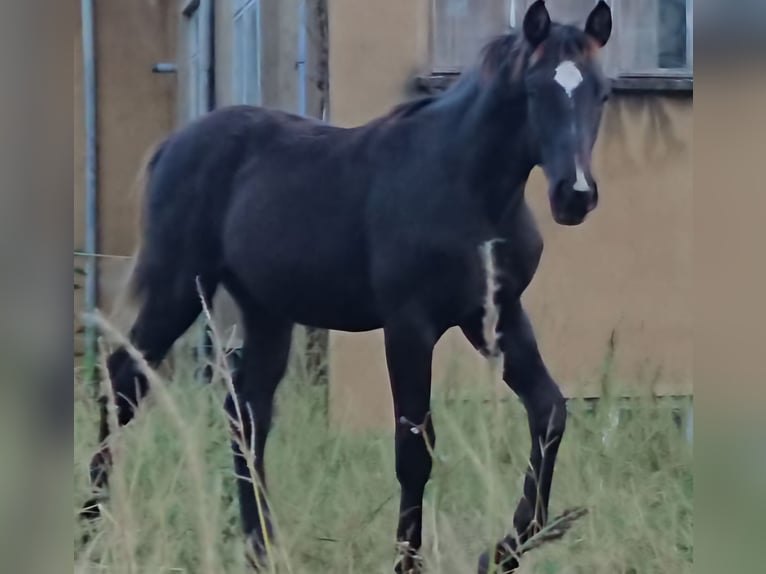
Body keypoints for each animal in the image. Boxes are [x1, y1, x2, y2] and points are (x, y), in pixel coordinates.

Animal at [81, 2, 616, 572]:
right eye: (535, 89)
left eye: (603, 92)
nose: (574, 194)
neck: (467, 186)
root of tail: (171, 145)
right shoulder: (409, 325)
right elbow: (414, 447)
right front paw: (409, 561)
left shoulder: (495, 316)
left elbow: (549, 412)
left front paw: (502, 551)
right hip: (178, 288)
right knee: (121, 384)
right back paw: (90, 531)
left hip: (266, 311)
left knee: (245, 414)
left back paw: (262, 548)